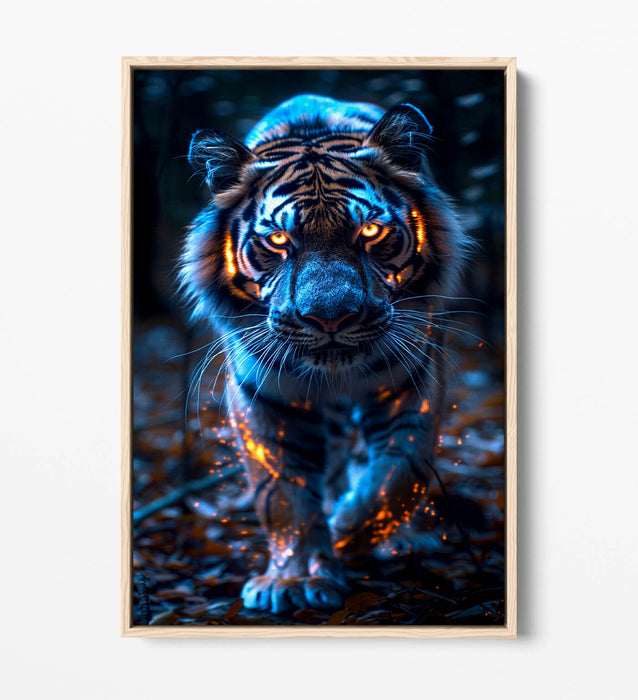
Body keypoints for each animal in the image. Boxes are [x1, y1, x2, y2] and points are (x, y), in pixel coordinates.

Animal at [179, 94, 471, 614]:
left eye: (371, 231)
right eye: (278, 240)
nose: (330, 318)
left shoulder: (411, 378)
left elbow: (400, 473)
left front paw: (350, 529)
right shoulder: (264, 395)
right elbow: (283, 493)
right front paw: (294, 580)